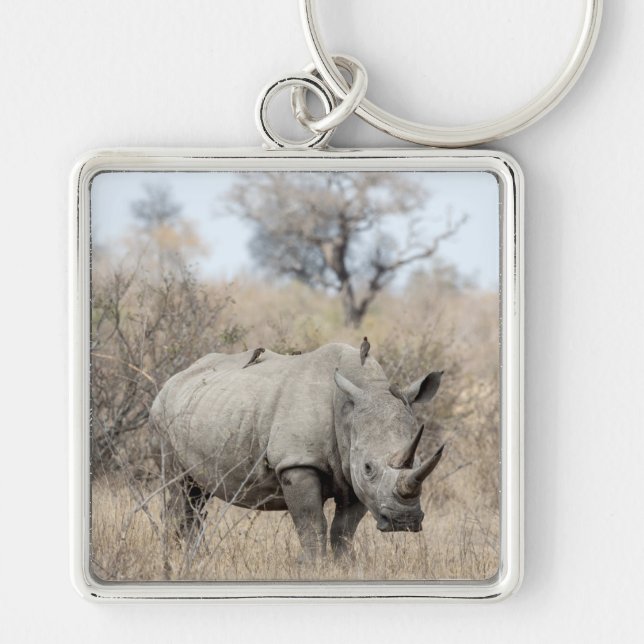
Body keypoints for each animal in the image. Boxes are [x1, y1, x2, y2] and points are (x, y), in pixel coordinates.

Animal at [150, 342, 445, 560]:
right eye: (369, 468)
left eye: (420, 459)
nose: (403, 521)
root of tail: (173, 379)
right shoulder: (297, 462)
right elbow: (312, 524)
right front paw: (315, 566)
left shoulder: (352, 473)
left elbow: (344, 530)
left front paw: (345, 565)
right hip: (162, 416)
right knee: (180, 489)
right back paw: (178, 559)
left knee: (197, 496)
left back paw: (193, 559)